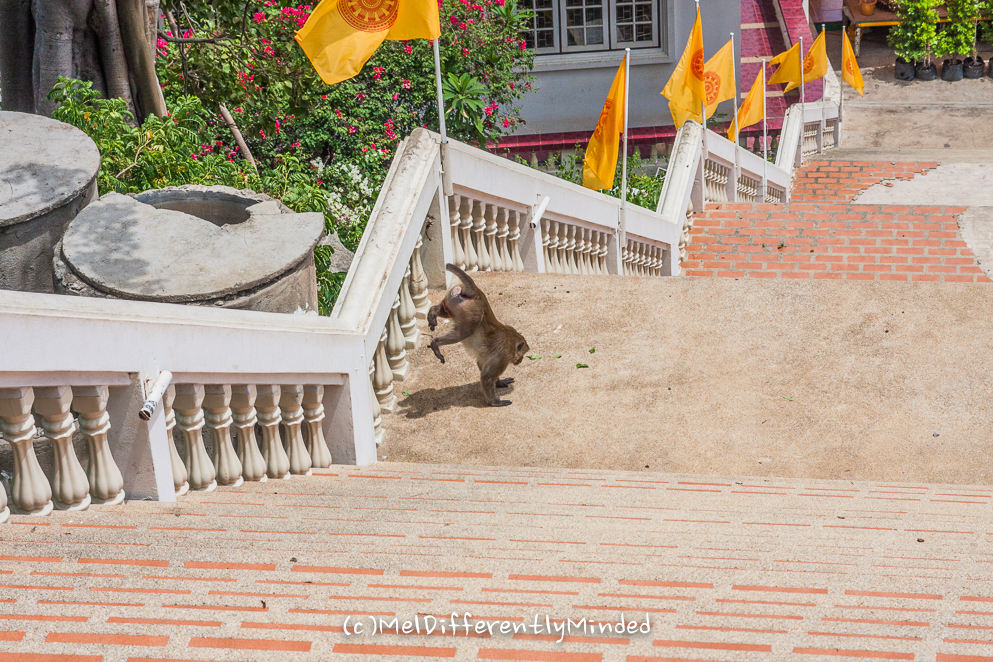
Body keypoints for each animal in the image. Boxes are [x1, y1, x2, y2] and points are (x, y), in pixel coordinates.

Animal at [427, 264, 530, 407]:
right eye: (523, 354)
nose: (521, 360)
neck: (512, 339)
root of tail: (475, 293)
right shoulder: (504, 356)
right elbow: (487, 376)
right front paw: (495, 402)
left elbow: (482, 364)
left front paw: (499, 382)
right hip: (471, 313)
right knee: (464, 332)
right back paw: (435, 343)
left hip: (453, 302)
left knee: (445, 312)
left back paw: (433, 312)